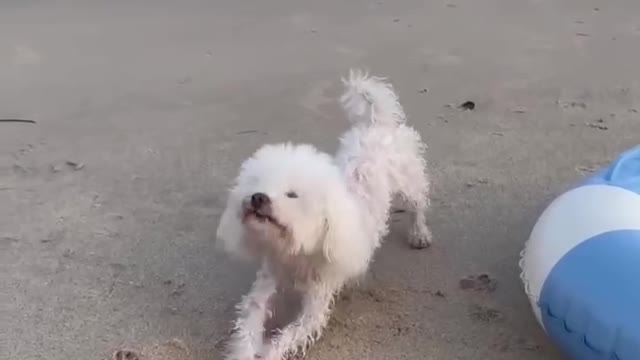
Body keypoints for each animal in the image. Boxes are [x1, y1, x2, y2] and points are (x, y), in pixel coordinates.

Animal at [218, 70, 432, 360]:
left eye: (292, 194)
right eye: (257, 183)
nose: (258, 198)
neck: (297, 252)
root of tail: (376, 124)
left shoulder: (314, 307)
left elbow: (287, 336)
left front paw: (269, 352)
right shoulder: (266, 285)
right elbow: (250, 326)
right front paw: (244, 352)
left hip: (408, 183)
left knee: (418, 203)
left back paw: (420, 233)